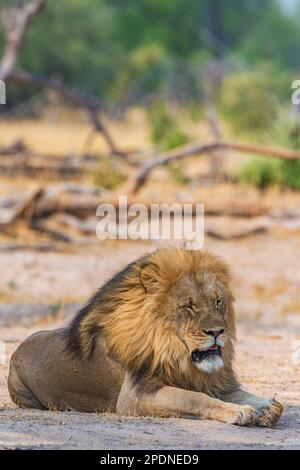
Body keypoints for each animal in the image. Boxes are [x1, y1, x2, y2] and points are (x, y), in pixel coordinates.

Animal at [7, 250, 284, 426]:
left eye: (218, 302)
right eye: (188, 306)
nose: (217, 332)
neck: (175, 350)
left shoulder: (209, 382)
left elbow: (238, 393)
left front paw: (267, 406)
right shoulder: (134, 396)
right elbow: (194, 398)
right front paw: (239, 412)